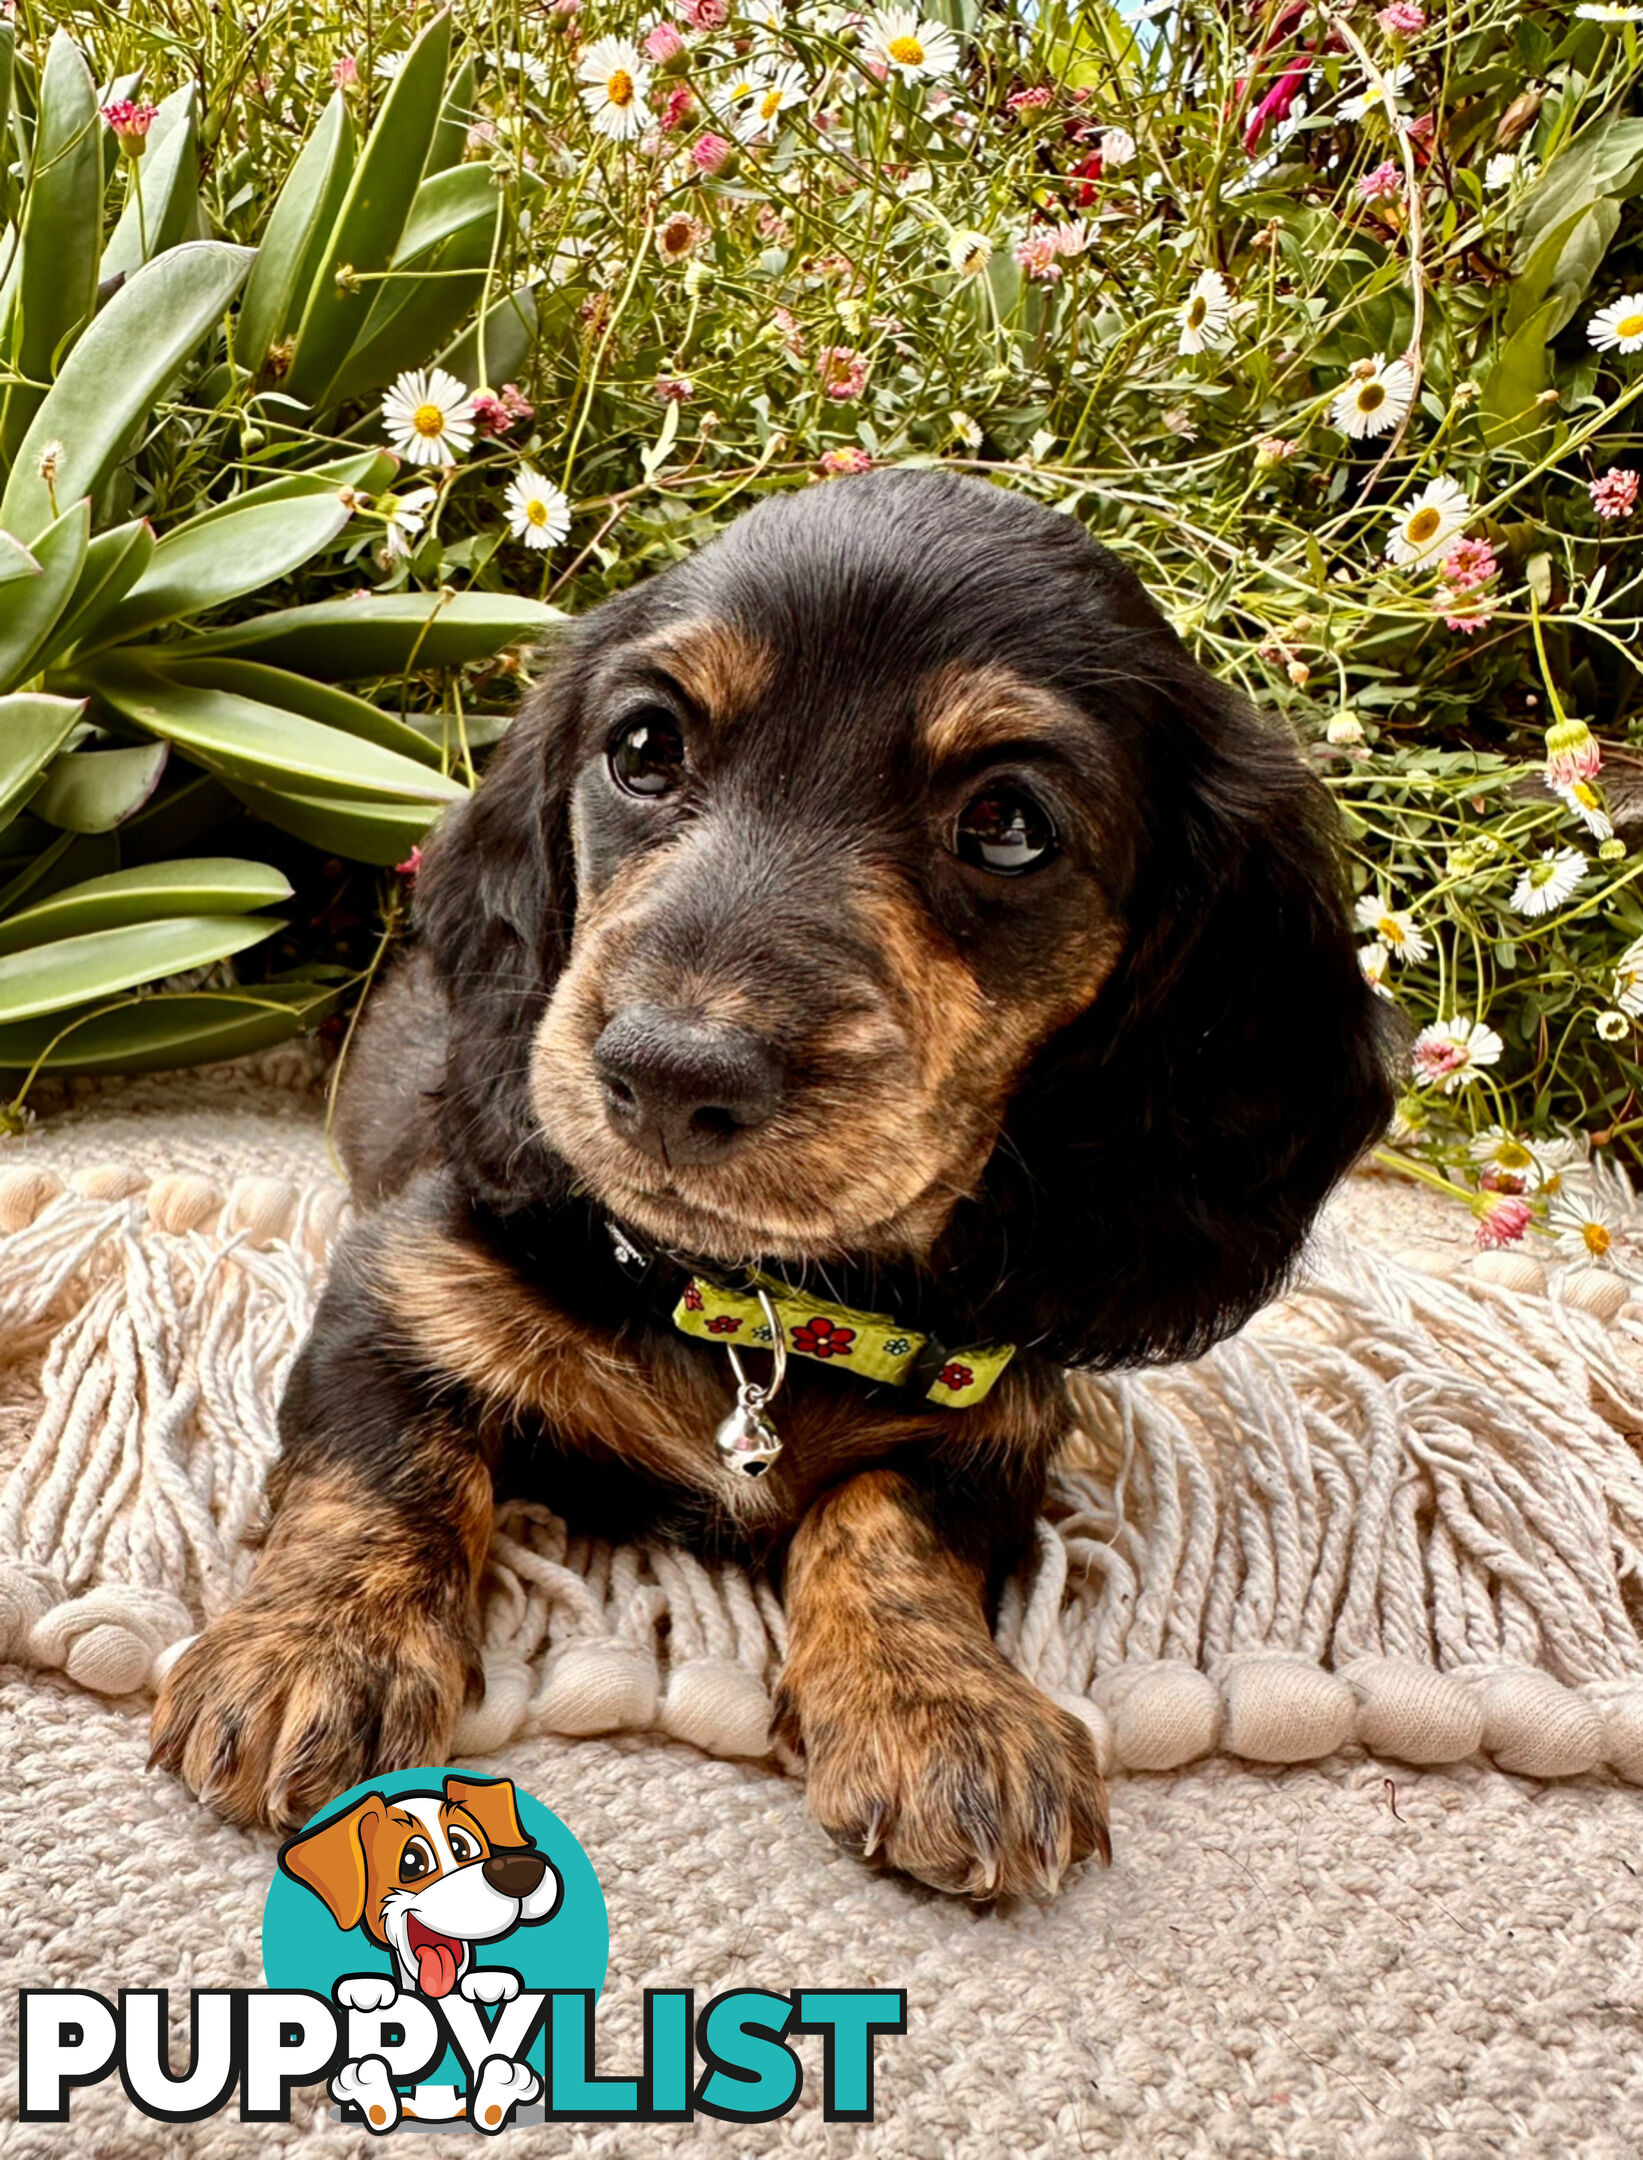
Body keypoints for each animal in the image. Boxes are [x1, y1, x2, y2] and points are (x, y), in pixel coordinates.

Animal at [153, 468, 1390, 1892]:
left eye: (1008, 826)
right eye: (643, 750)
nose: (665, 1075)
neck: (753, 1306)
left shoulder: (992, 1426)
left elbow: (888, 1523)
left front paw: (940, 1710)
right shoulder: (398, 1287)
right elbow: (385, 1466)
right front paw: (312, 1652)